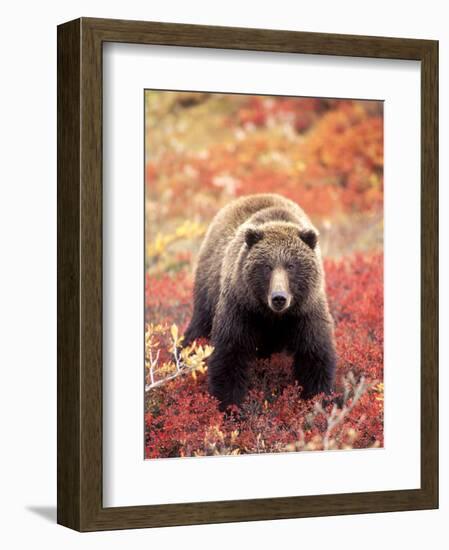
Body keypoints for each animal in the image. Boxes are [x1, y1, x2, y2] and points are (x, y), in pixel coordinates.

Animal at [183, 193, 336, 410]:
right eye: (267, 266)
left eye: (291, 265)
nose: (279, 298)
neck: (273, 316)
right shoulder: (241, 308)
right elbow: (229, 355)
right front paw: (230, 406)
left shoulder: (306, 312)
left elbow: (314, 356)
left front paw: (318, 401)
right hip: (208, 290)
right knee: (198, 328)